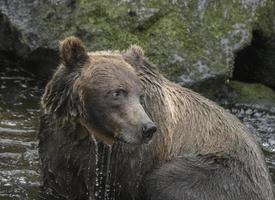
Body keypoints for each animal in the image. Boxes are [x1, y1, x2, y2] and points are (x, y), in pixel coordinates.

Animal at [39, 36, 275, 200]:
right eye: (117, 92)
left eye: (139, 94)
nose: (147, 128)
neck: (89, 132)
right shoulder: (60, 141)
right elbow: (60, 182)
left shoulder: (128, 159)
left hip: (222, 173)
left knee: (163, 180)